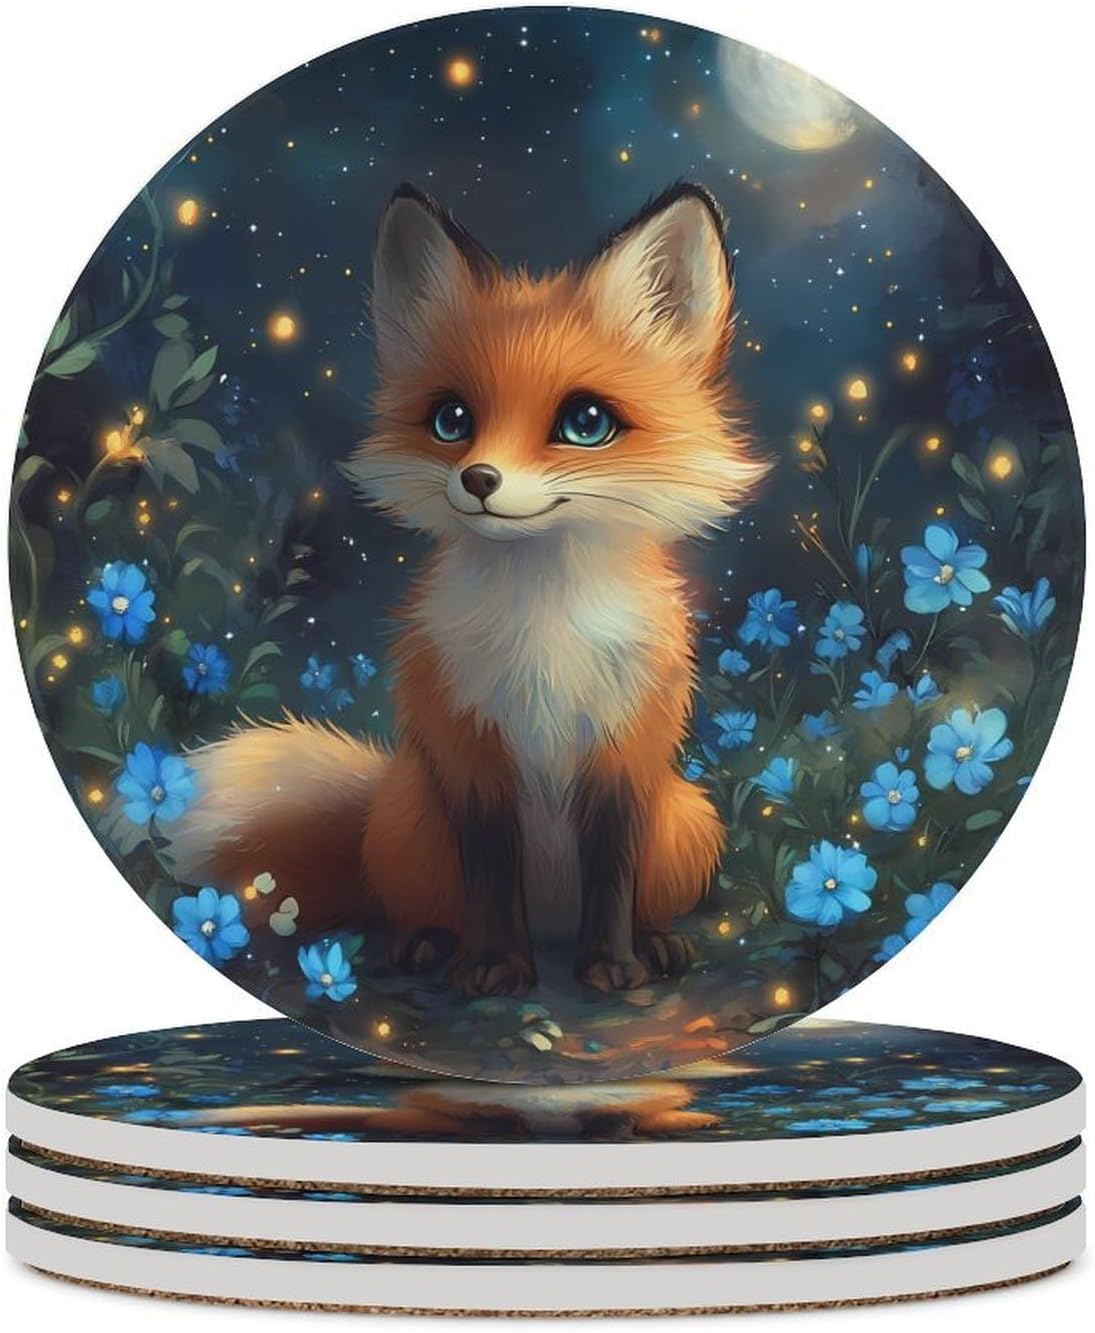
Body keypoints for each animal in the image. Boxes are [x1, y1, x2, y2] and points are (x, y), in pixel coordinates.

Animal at [172, 181, 767, 997]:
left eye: (585, 422)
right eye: (452, 419)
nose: (478, 480)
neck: (545, 632)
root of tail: (553, 922)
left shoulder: (624, 755)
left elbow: (611, 874)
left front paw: (613, 964)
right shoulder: (471, 753)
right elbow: (488, 877)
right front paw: (493, 965)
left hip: (686, 820)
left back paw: (654, 943)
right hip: (408, 820)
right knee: (425, 905)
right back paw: (427, 944)